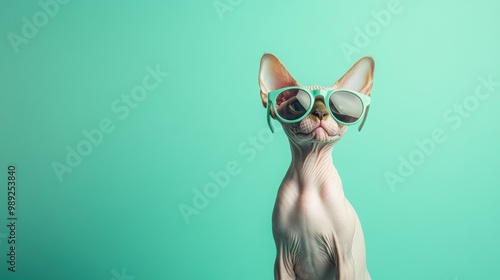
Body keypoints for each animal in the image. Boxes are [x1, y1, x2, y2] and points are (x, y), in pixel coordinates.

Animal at [260, 53, 374, 278]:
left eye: (337, 107)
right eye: (297, 106)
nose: (320, 113)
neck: (310, 173)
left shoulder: (344, 258)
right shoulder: (282, 260)